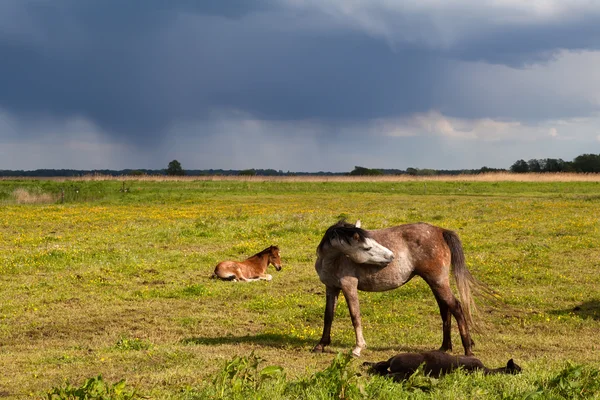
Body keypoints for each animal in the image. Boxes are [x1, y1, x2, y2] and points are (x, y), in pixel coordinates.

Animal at [312, 222, 490, 356]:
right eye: (367, 248)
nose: (391, 256)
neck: (334, 259)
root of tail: (440, 231)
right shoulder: (331, 288)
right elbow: (328, 316)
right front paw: (321, 345)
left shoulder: (349, 286)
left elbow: (355, 316)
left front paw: (358, 348)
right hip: (436, 284)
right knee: (445, 310)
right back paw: (444, 347)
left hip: (438, 282)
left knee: (456, 308)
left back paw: (468, 350)